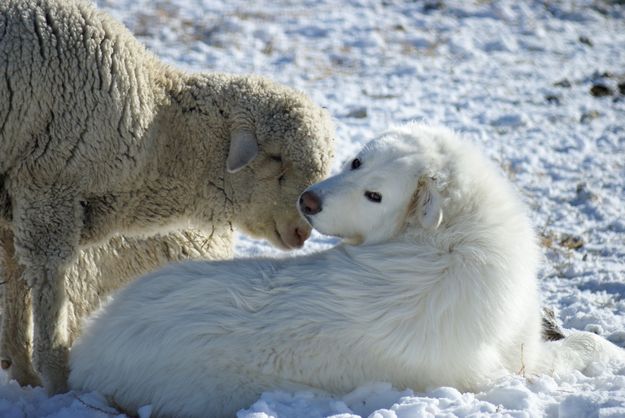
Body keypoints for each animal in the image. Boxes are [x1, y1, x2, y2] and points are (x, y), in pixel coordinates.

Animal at [0, 0, 334, 394]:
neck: (156, 133)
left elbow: (16, 282)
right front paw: (56, 379)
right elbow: (49, 283)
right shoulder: (48, 188)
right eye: (277, 159)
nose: (303, 231)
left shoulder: (14, 203)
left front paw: (23, 371)